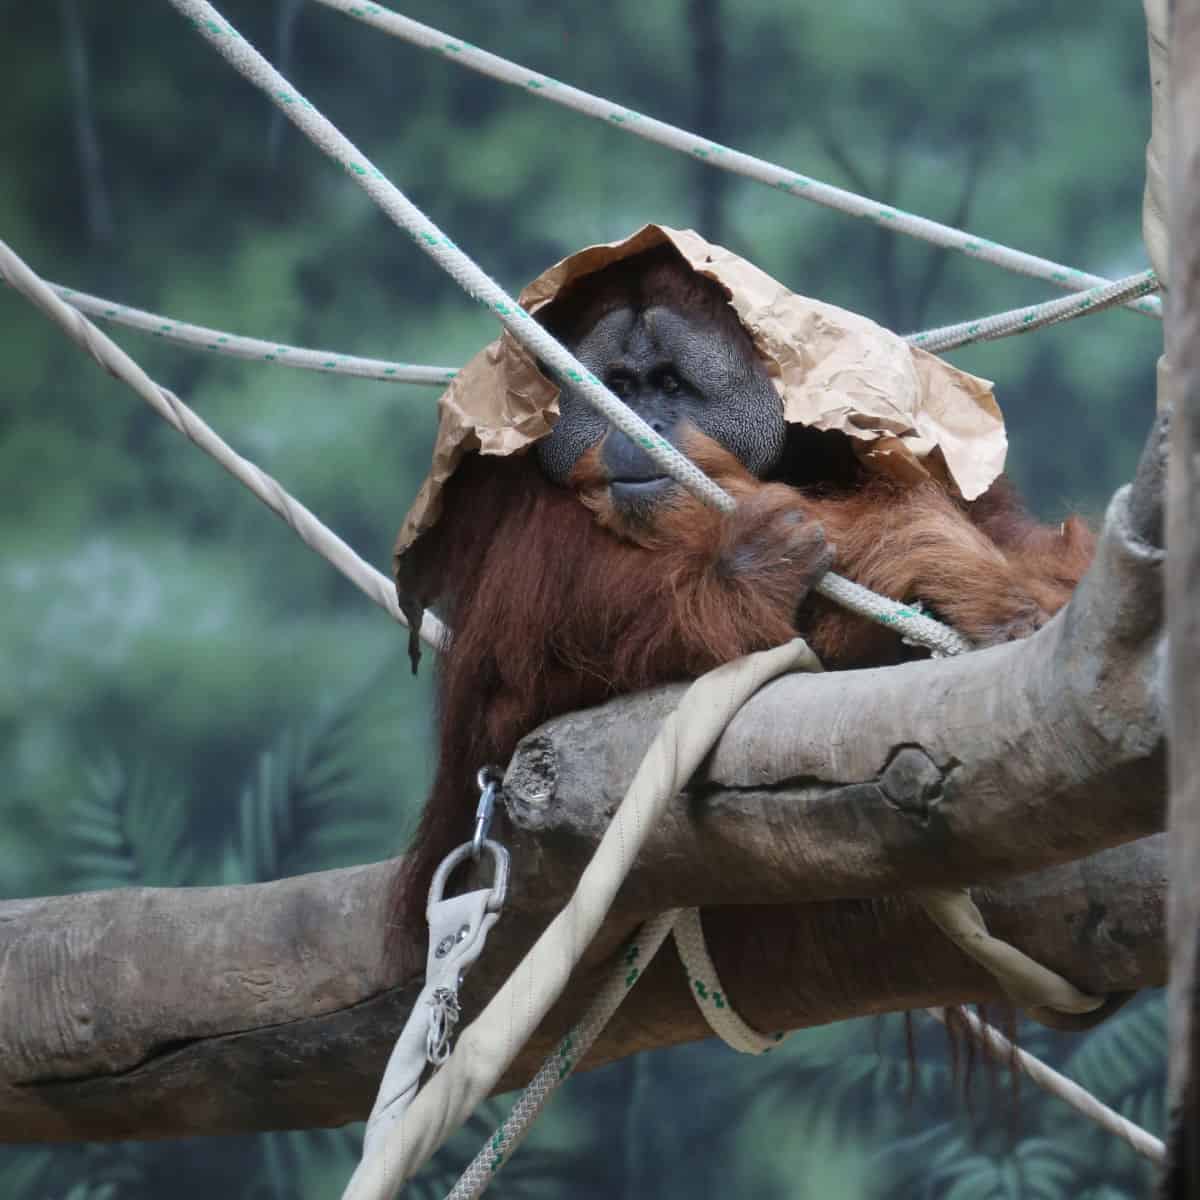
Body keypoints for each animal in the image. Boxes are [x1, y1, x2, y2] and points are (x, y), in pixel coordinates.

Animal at [394, 243, 1095, 919]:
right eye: (617, 386)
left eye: (670, 382)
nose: (639, 426)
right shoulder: (507, 485)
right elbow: (514, 673)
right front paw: (764, 560)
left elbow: (1038, 555)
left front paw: (976, 584)